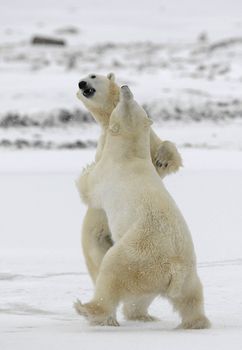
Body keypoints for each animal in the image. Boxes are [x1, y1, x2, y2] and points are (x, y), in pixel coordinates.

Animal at [74, 86, 211, 330]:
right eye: (137, 103)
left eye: (126, 103)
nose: (125, 88)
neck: (130, 155)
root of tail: (174, 269)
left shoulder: (105, 174)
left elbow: (88, 187)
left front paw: (85, 169)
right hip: (186, 274)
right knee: (189, 298)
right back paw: (192, 323)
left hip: (137, 255)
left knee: (111, 272)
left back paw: (87, 309)